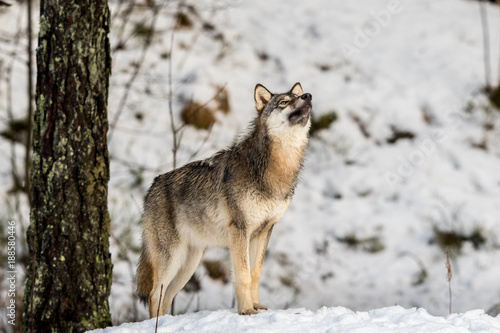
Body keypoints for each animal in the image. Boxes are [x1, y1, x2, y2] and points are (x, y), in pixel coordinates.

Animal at [135, 81, 310, 316]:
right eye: (284, 102)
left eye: (297, 96)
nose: (308, 96)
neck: (277, 170)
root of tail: (152, 187)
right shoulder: (240, 231)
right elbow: (243, 275)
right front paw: (246, 310)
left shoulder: (264, 231)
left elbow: (256, 273)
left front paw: (257, 306)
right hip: (172, 258)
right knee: (155, 294)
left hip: (189, 264)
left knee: (166, 296)